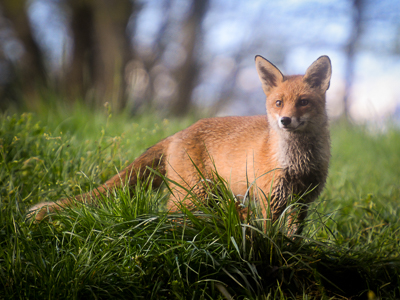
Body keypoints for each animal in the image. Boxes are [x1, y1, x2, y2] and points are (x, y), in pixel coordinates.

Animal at [29, 55, 332, 231]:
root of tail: (178, 133)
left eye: (303, 102)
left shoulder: (302, 202)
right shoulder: (269, 199)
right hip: (193, 194)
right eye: (278, 103)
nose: (285, 121)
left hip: (212, 197)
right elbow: (269, 240)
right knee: (171, 214)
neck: (297, 163)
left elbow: (292, 239)